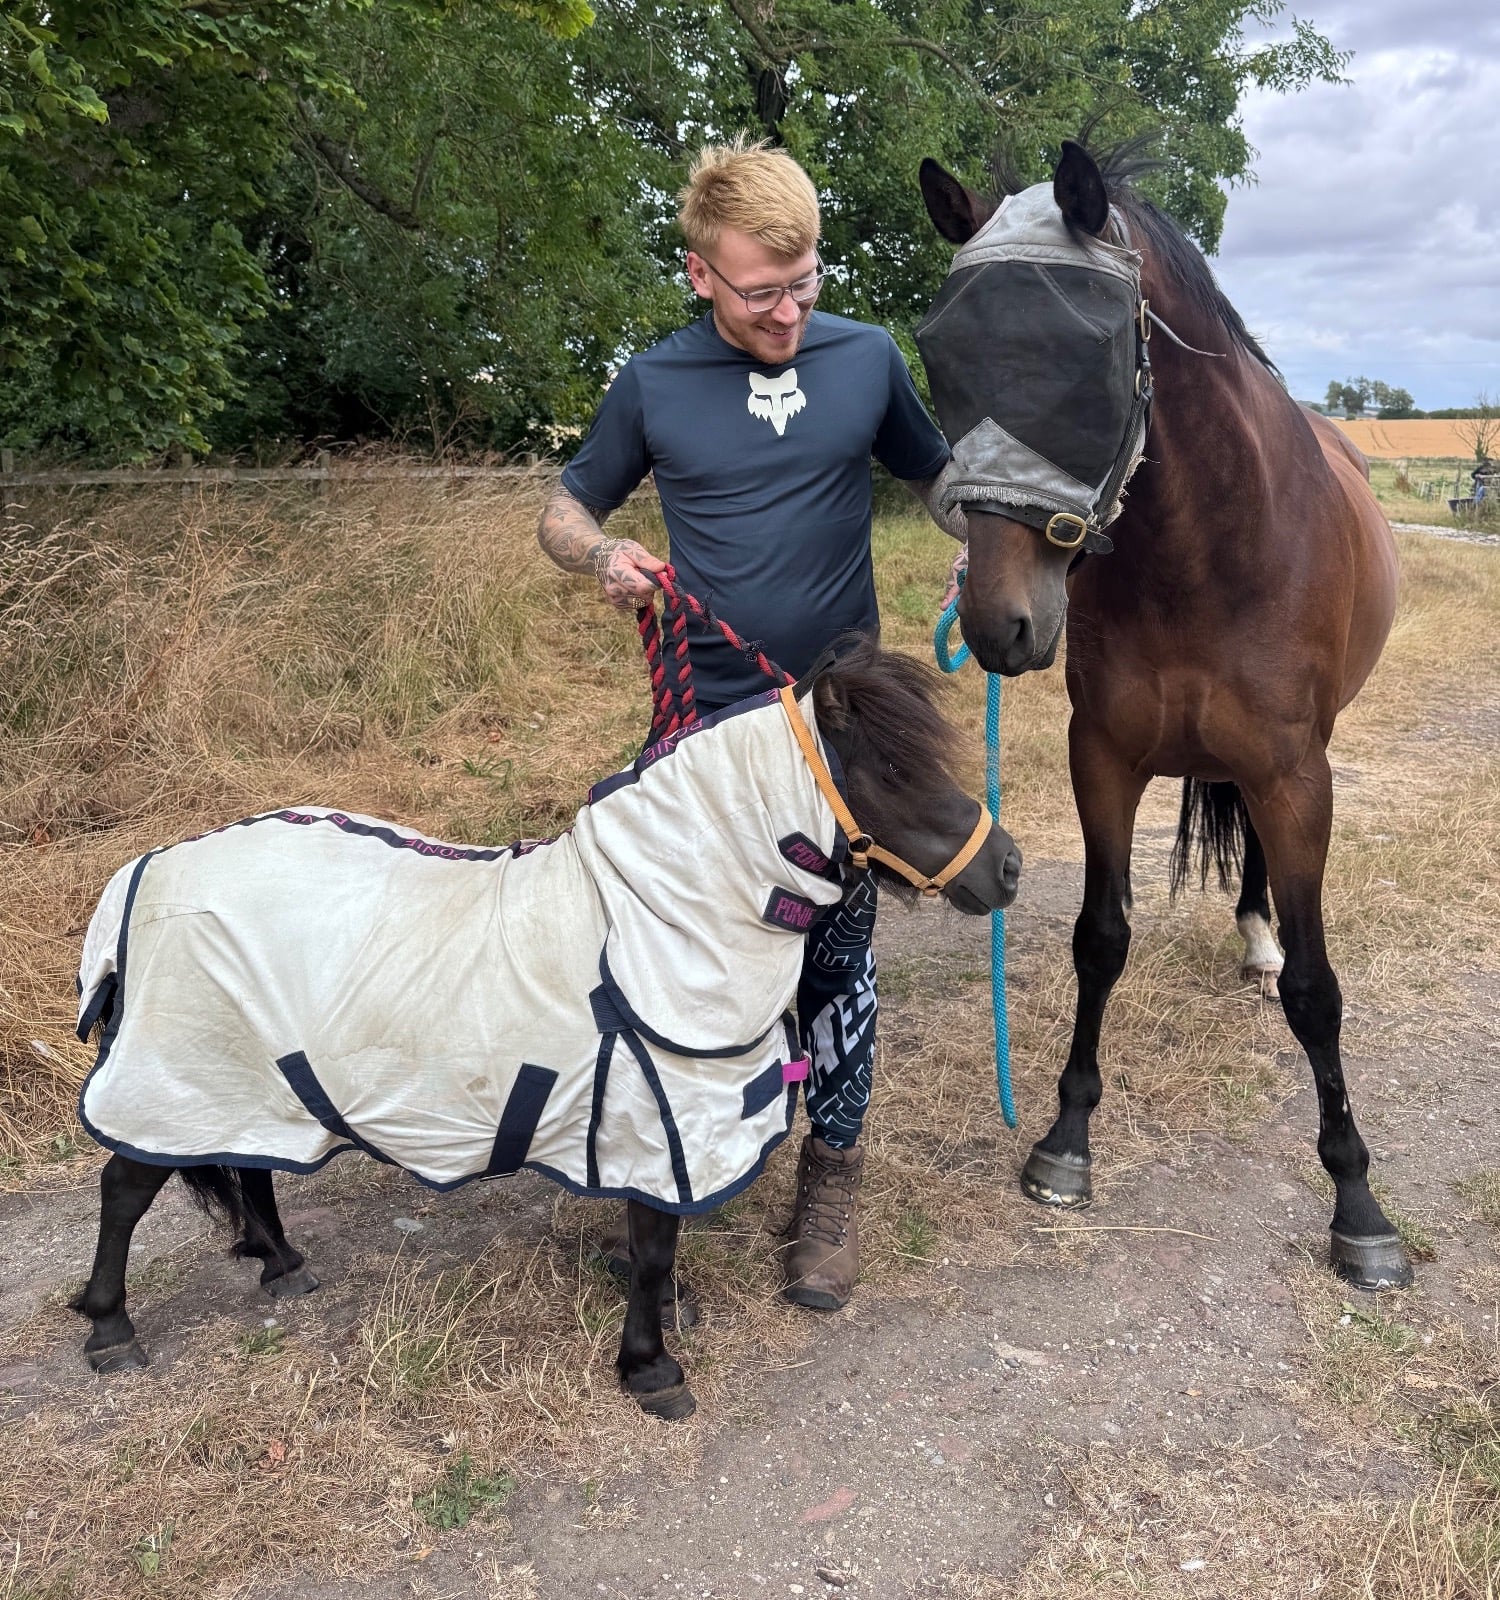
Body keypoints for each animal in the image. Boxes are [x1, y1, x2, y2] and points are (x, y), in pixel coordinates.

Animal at [68, 638, 1022, 1419]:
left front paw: (664, 1329)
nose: (1006, 868)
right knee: (125, 1188)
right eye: (892, 769)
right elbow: (651, 1247)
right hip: (176, 1070)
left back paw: (283, 1263)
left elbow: (656, 1246)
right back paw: (111, 1331)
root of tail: (146, 869)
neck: (651, 922)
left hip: (252, 1075)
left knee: (253, 1160)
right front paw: (651, 1371)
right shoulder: (659, 1124)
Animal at [915, 141, 1409, 1291]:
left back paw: (1260, 936)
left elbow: (1317, 990)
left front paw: (1357, 1202)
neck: (1211, 544)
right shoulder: (1102, 757)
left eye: (1080, 367)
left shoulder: (1294, 775)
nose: (998, 624)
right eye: (942, 354)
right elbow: (1101, 940)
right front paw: (1065, 1142)